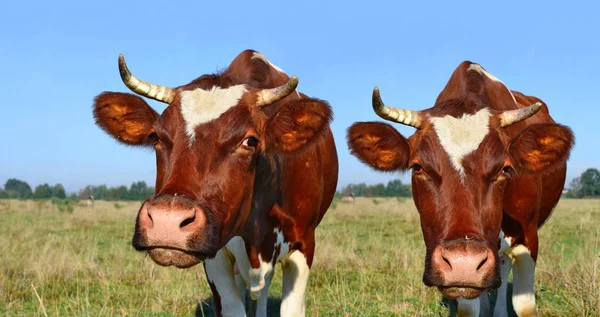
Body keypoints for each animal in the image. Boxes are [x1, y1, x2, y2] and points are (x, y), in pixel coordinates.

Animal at [344, 60, 576, 314]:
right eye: (417, 167)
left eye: (505, 169)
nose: (463, 263)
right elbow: (469, 308)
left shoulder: (528, 238)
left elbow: (524, 304)